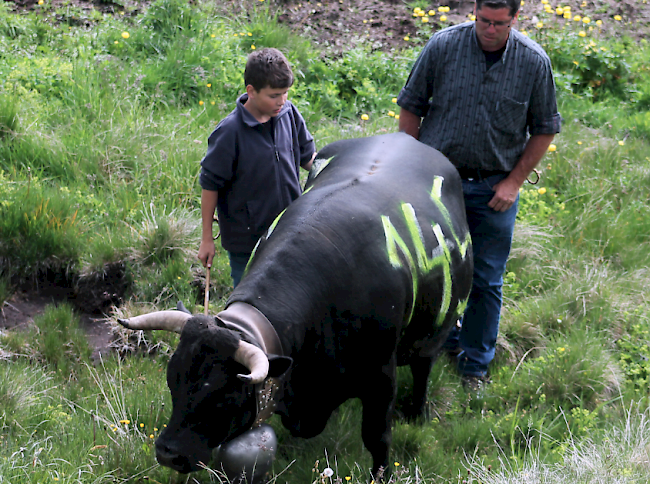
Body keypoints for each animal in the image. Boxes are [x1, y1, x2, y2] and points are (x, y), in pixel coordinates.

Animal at [117, 132, 470, 476]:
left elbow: (377, 436)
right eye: (172, 378)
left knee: (424, 366)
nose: (168, 453)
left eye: (222, 393)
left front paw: (381, 475)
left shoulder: (380, 376)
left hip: (436, 327)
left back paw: (419, 413)